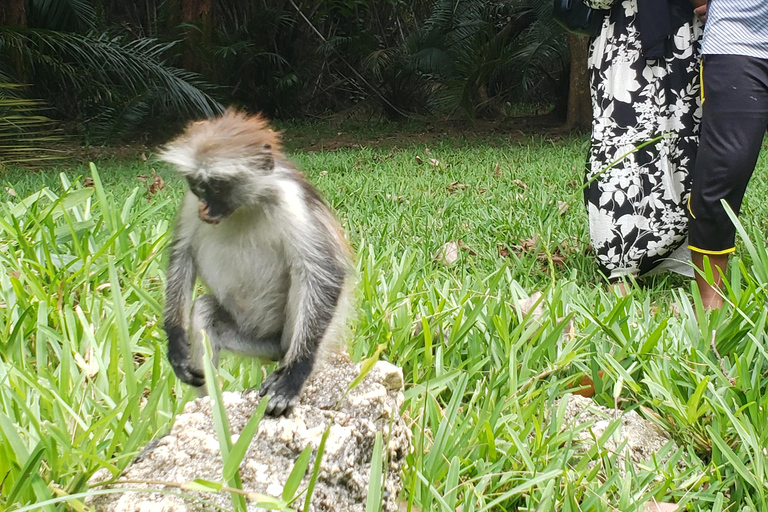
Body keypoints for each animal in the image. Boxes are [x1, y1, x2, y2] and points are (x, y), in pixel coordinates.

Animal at [162, 109, 356, 416]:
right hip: (254, 341)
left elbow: (325, 272)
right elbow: (182, 256)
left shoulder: (292, 200)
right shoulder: (191, 204)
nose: (206, 208)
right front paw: (175, 342)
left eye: (217, 186)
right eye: (197, 185)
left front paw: (295, 375)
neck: (247, 205)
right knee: (204, 310)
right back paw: (210, 406)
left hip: (287, 337)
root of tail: (275, 348)